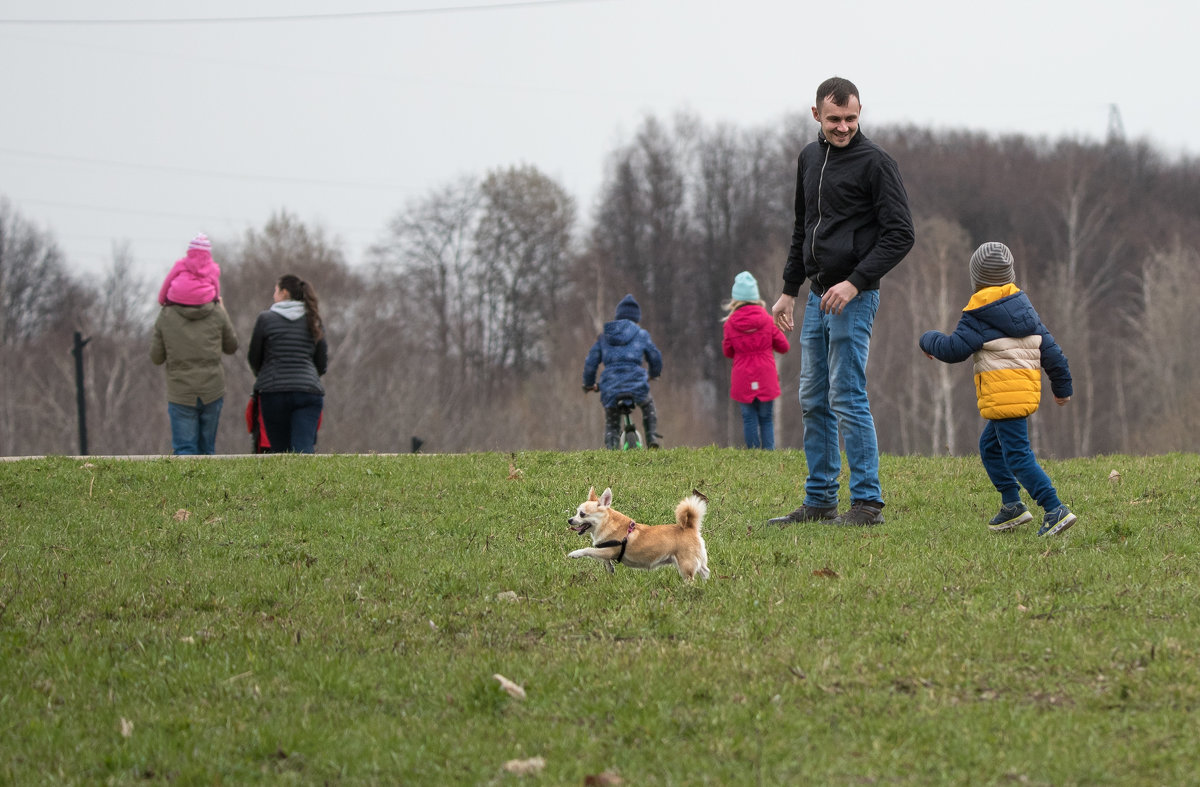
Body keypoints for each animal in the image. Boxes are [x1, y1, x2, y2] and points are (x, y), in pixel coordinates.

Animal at [566, 484, 705, 578]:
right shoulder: (605, 552)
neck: (606, 523)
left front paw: (575, 553)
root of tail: (690, 527)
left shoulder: (609, 551)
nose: (569, 520)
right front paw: (610, 569)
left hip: (685, 564)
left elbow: (589, 550)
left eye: (582, 514)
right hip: (699, 562)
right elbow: (604, 560)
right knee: (705, 572)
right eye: (576, 512)